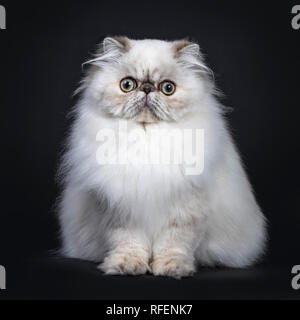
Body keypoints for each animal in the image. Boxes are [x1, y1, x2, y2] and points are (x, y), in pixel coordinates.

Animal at [56, 37, 268, 278]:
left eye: (168, 88)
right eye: (127, 85)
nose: (147, 89)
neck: (147, 138)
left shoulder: (186, 210)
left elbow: (174, 245)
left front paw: (171, 268)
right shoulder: (120, 210)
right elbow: (129, 244)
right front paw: (127, 266)